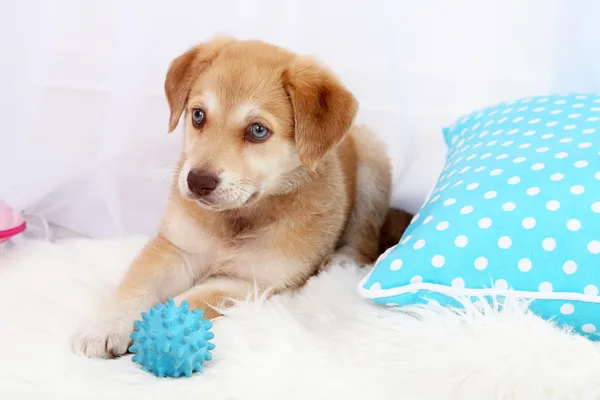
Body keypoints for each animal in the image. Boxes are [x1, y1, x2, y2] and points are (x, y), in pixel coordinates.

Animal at [77, 36, 400, 358]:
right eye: (198, 115)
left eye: (258, 131)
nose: (197, 182)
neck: (238, 217)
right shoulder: (177, 249)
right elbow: (137, 283)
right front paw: (107, 326)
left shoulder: (250, 282)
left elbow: (192, 300)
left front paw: (160, 326)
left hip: (372, 158)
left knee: (366, 238)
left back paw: (342, 261)